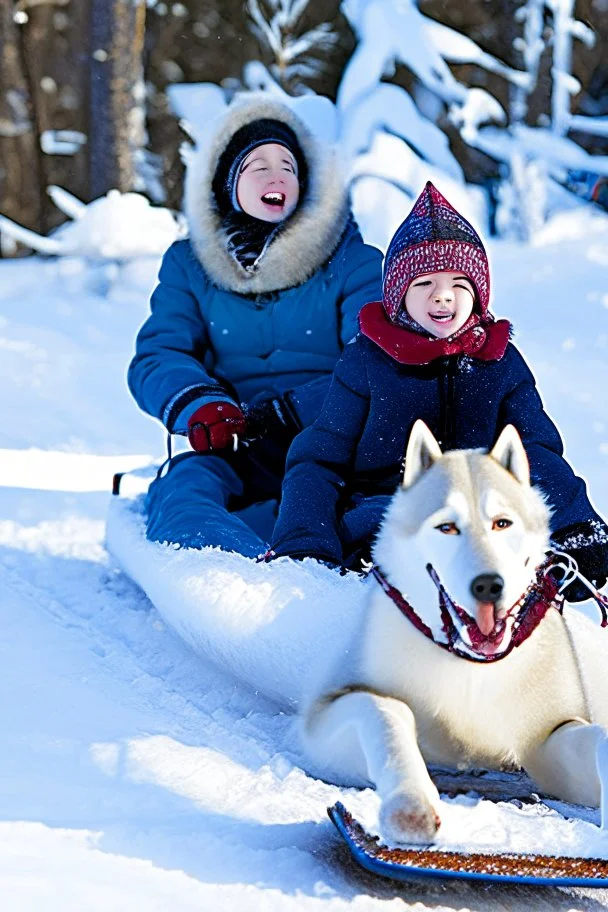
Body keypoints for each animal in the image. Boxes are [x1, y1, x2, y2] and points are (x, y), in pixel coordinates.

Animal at [302, 424, 608, 844]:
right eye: (446, 527)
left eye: (502, 523)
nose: (489, 585)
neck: (470, 664)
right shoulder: (319, 723)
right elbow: (384, 710)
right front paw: (410, 803)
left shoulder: (548, 736)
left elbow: (596, 740)